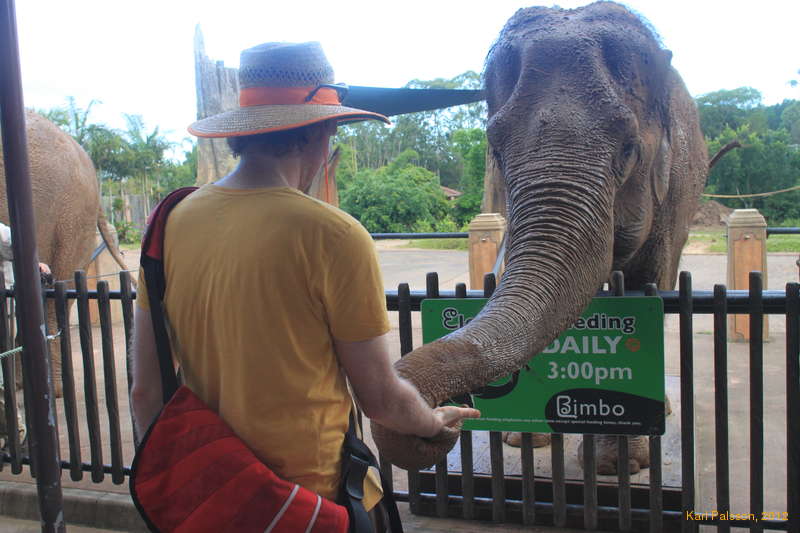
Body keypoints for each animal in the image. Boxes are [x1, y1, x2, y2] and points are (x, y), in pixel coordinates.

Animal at [371, 1, 707, 474]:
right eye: (495, 147)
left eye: (629, 150)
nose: (444, 418)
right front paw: (523, 441)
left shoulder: (674, 193)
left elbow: (646, 286)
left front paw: (616, 467)